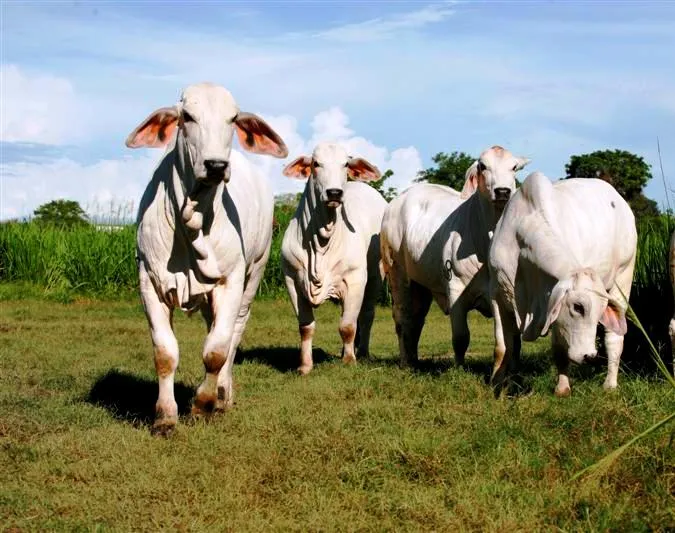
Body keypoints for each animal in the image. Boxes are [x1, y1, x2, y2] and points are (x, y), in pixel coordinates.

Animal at [127, 82, 288, 432]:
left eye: (233, 119)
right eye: (187, 116)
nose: (216, 166)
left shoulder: (231, 281)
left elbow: (216, 350)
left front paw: (203, 405)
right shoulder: (149, 280)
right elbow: (165, 353)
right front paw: (165, 416)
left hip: (254, 274)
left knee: (233, 335)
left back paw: (223, 394)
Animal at [280, 141, 388, 374]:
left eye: (345, 164)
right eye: (316, 163)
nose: (334, 193)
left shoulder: (355, 279)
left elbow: (347, 325)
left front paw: (349, 360)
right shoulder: (292, 280)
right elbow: (306, 327)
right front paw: (305, 366)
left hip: (376, 276)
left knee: (366, 315)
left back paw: (361, 352)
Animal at [380, 144, 532, 366]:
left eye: (514, 167)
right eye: (483, 166)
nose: (503, 191)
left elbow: (510, 342)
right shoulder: (455, 291)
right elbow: (461, 338)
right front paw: (459, 367)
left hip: (421, 283)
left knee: (416, 320)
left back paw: (414, 360)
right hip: (397, 273)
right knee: (402, 319)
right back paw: (405, 362)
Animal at [488, 170, 636, 394]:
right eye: (578, 307)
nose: (590, 357)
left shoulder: (553, 306)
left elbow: (559, 349)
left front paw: (562, 389)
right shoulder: (498, 296)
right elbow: (503, 347)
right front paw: (499, 384)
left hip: (624, 277)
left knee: (614, 338)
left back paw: (610, 384)